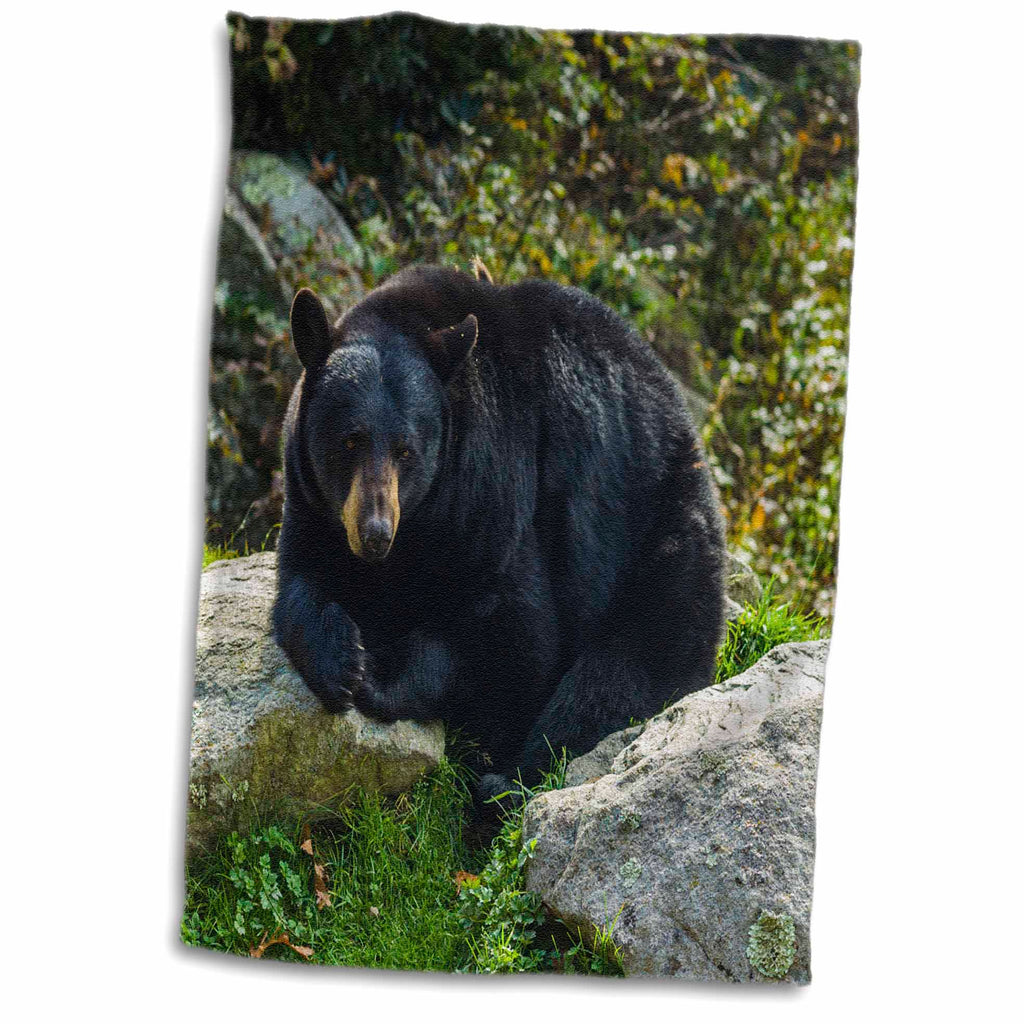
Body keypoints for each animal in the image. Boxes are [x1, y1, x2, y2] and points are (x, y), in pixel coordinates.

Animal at [272, 263, 725, 812]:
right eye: (350, 441)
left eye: (406, 450)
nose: (374, 533)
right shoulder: (312, 501)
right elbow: (302, 577)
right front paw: (340, 659)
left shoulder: (495, 495)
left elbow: (516, 642)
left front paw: (380, 678)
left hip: (660, 541)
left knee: (618, 673)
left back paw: (506, 784)